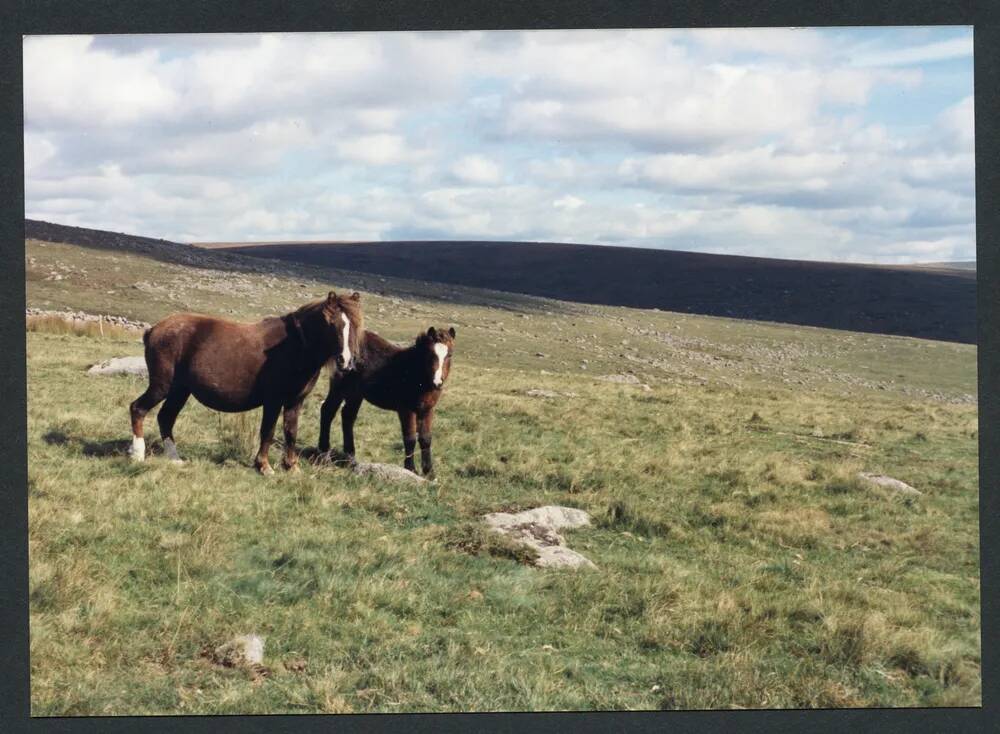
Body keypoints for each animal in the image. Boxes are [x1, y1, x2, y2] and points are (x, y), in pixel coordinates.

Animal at [129, 290, 364, 474]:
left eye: (354, 325)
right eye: (331, 324)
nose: (346, 361)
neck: (294, 347)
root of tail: (155, 329)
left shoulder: (295, 401)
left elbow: (291, 432)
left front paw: (292, 467)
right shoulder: (273, 400)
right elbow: (268, 431)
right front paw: (264, 466)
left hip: (180, 390)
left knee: (165, 417)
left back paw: (175, 458)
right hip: (162, 386)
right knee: (138, 408)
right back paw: (138, 454)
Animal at [318, 326, 456, 478]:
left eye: (449, 355)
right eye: (430, 354)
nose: (437, 383)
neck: (415, 372)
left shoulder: (427, 410)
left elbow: (426, 439)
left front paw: (429, 472)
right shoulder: (407, 410)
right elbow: (410, 438)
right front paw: (411, 469)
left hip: (355, 394)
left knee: (348, 417)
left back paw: (350, 458)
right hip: (339, 389)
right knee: (327, 411)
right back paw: (324, 454)